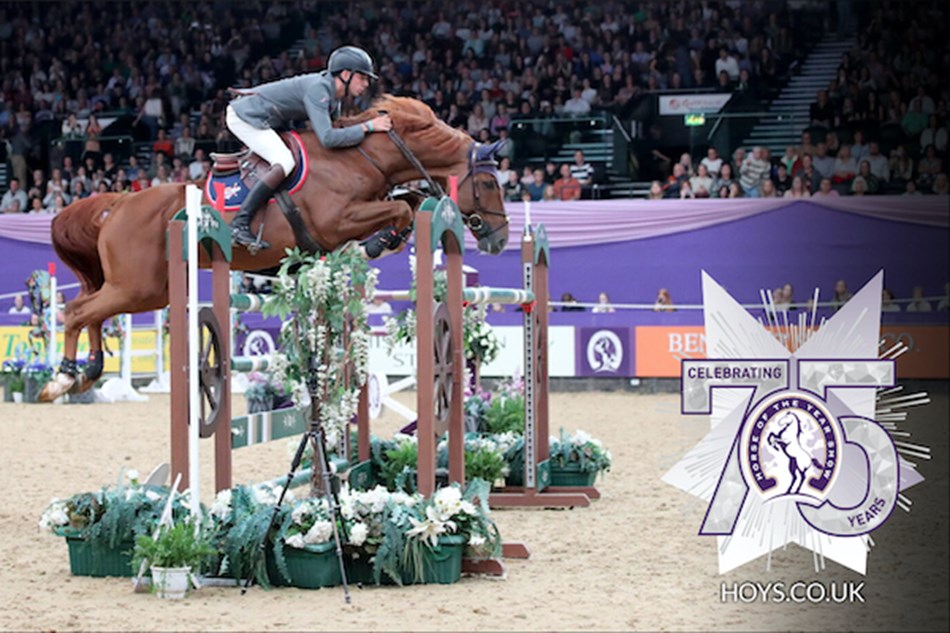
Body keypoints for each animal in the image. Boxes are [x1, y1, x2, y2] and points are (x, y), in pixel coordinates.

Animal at [40, 94, 510, 400]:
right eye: (489, 183)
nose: (501, 238)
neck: (361, 157)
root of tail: (118, 203)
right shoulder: (337, 220)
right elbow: (400, 210)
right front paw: (378, 243)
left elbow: (408, 204)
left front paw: (385, 239)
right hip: (139, 287)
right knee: (78, 311)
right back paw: (60, 379)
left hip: (144, 289)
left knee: (91, 309)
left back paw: (88, 372)